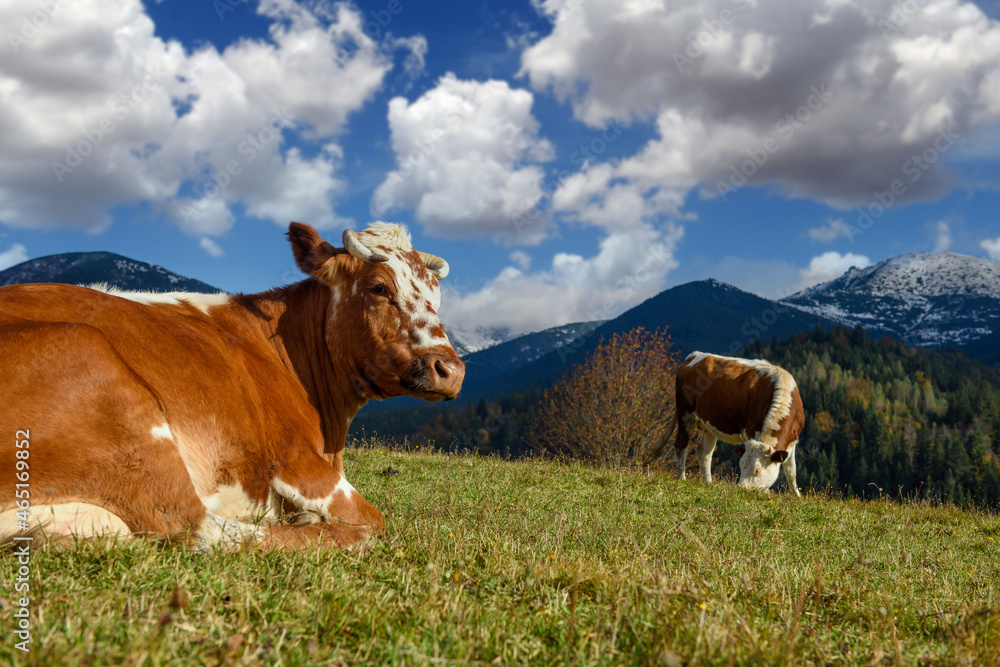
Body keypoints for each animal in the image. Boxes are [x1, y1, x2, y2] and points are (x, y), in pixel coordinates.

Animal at [0, 223, 466, 548]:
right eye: (378, 287)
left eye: (437, 298)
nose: (451, 369)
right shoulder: (295, 459)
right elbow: (373, 515)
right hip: (103, 377)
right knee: (197, 527)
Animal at [648, 352, 804, 494]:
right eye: (741, 465)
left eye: (757, 470)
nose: (741, 489)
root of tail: (695, 356)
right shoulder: (750, 431)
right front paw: (765, 494)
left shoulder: (792, 441)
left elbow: (791, 471)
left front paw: (795, 496)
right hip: (685, 414)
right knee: (681, 445)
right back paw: (682, 479)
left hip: (708, 425)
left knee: (704, 453)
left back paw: (708, 483)